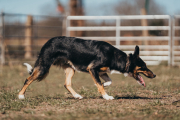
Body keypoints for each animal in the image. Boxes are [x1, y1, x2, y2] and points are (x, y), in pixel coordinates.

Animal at [18, 36, 156, 100]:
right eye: (144, 66)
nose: (154, 75)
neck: (114, 56)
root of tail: (47, 42)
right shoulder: (93, 69)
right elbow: (99, 84)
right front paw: (106, 96)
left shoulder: (102, 72)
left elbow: (108, 81)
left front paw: (104, 86)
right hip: (43, 67)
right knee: (27, 79)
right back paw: (21, 96)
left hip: (71, 69)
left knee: (67, 84)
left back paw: (77, 96)